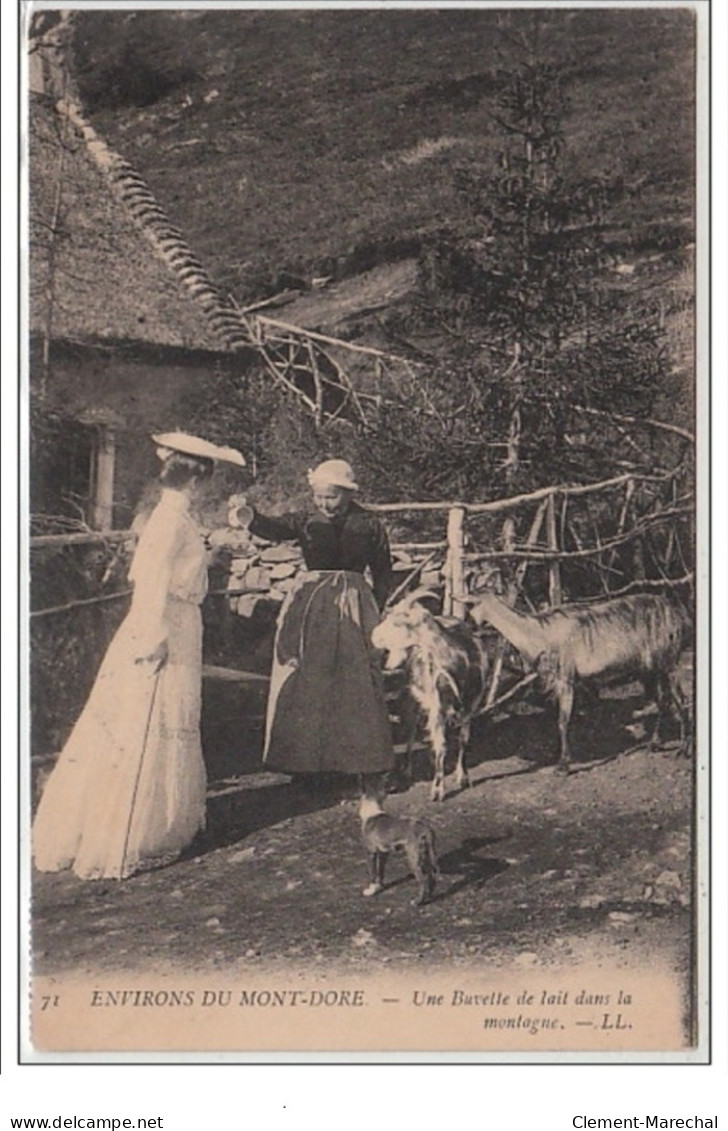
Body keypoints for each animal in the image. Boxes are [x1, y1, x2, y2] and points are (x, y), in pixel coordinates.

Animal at [370, 592, 488, 805]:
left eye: (398, 622)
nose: (373, 635)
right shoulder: (437, 706)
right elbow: (441, 745)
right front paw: (437, 790)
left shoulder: (472, 705)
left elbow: (464, 739)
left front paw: (463, 776)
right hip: (413, 698)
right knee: (411, 732)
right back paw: (407, 770)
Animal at [470, 588, 691, 773]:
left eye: (469, 604)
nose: (469, 627)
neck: (541, 634)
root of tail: (677, 614)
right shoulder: (571, 682)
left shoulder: (566, 678)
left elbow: (563, 721)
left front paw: (563, 766)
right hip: (650, 670)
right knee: (663, 700)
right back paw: (654, 744)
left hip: (669, 661)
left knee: (682, 700)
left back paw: (683, 749)